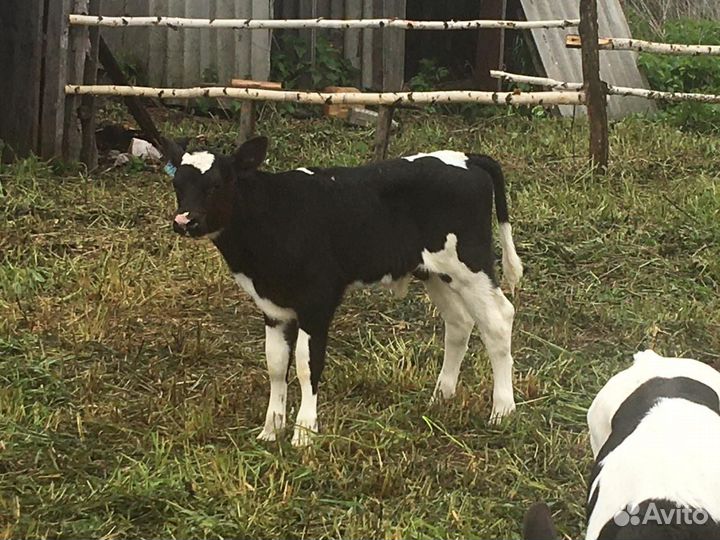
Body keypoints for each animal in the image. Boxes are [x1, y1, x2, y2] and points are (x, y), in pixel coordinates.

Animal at [163, 136, 524, 448]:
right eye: (178, 185)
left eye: (216, 185)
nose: (184, 221)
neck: (275, 213)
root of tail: (467, 158)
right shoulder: (273, 308)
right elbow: (276, 364)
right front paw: (271, 430)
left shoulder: (317, 301)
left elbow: (307, 365)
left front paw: (304, 433)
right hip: (435, 272)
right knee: (460, 322)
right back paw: (441, 396)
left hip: (471, 265)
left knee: (497, 320)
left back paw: (503, 410)